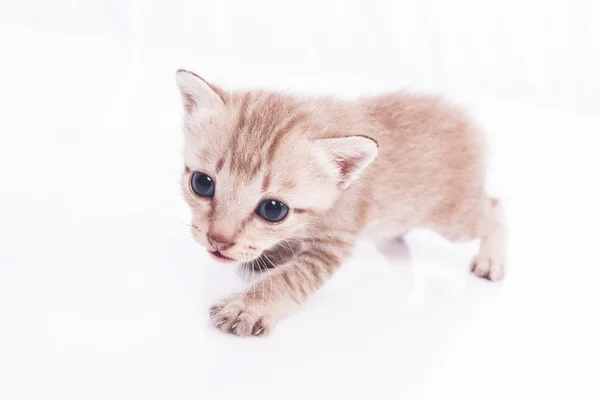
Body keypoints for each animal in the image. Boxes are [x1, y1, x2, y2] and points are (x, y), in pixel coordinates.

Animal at [177, 70, 506, 336]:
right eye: (202, 184)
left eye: (273, 210)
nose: (218, 240)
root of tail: (463, 117)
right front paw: (276, 251)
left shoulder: (333, 243)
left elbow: (289, 279)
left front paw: (248, 307)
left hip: (454, 219)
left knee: (493, 206)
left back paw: (491, 260)